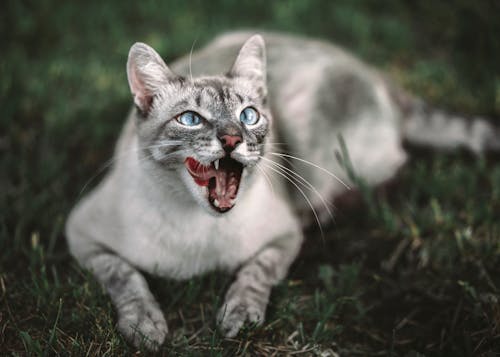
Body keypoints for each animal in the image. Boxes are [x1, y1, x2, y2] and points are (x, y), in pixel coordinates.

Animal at [65, 30, 500, 348]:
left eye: (248, 115)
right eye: (190, 119)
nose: (231, 139)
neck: (198, 233)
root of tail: (381, 77)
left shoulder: (284, 236)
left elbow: (255, 274)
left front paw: (239, 318)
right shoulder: (81, 233)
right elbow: (125, 277)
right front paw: (145, 327)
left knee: (390, 172)